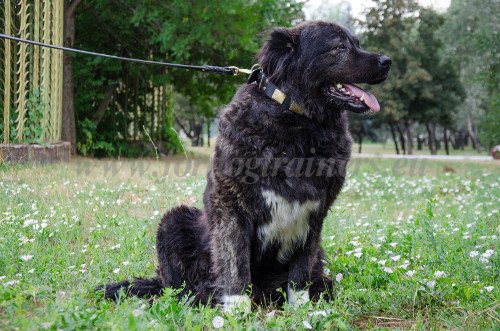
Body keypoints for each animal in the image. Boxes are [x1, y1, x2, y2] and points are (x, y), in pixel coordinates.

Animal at [100, 21, 390, 314]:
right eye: (339, 47)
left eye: (356, 42)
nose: (387, 61)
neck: (297, 123)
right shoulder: (231, 209)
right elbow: (235, 264)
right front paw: (236, 310)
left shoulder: (314, 216)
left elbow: (300, 270)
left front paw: (301, 309)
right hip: (174, 221)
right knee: (178, 288)